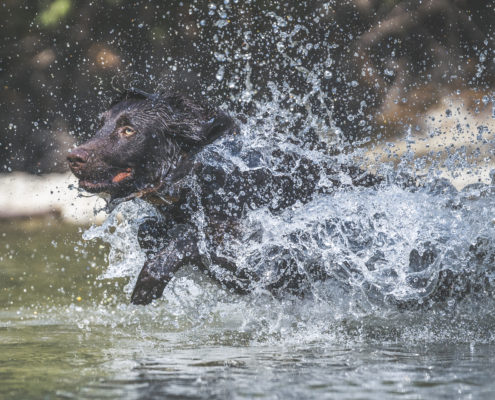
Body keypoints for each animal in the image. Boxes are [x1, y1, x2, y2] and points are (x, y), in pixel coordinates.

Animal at [67, 89, 384, 304]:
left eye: (128, 129)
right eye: (101, 124)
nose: (73, 157)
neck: (203, 174)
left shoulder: (270, 261)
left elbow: (189, 236)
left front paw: (149, 280)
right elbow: (149, 229)